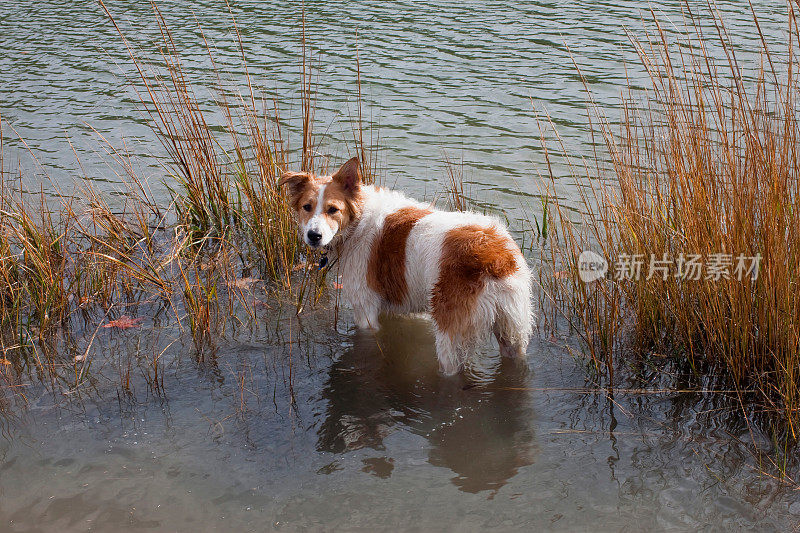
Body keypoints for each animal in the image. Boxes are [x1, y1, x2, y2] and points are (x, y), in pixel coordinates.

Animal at [278, 157, 536, 374]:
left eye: (333, 209)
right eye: (307, 207)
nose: (314, 236)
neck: (358, 222)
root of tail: (496, 255)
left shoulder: (366, 310)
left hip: (451, 339)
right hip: (513, 332)